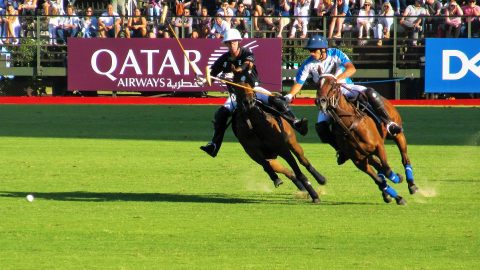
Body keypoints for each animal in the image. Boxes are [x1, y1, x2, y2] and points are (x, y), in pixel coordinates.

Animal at [316, 74, 416, 205]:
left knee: (404, 158)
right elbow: (379, 178)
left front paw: (398, 178)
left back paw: (412, 184)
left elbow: (387, 170)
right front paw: (397, 197)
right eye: (317, 84)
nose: (320, 101)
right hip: (367, 155)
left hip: (397, 134)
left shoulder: (379, 146)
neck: (349, 124)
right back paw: (387, 193)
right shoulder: (359, 161)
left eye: (332, 84)